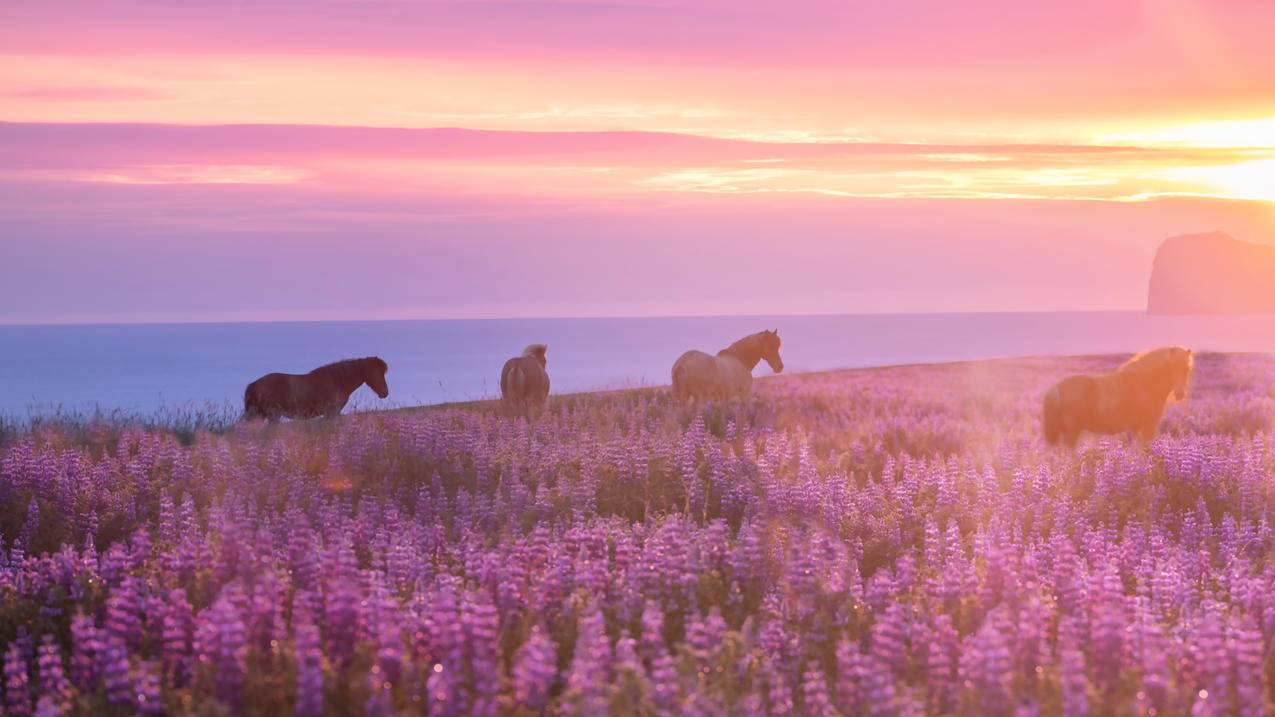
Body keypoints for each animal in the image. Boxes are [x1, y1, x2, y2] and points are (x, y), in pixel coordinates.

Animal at [243, 354, 387, 421]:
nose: (385, 392)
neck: (338, 381)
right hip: (272, 416)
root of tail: (254, 384)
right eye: (377, 373)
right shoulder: (332, 413)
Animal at [1045, 347, 1193, 446]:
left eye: (1186, 368)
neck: (1145, 382)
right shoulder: (1148, 426)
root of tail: (1057, 387)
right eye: (1172, 367)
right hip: (1072, 432)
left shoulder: (1135, 428)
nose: (1180, 393)